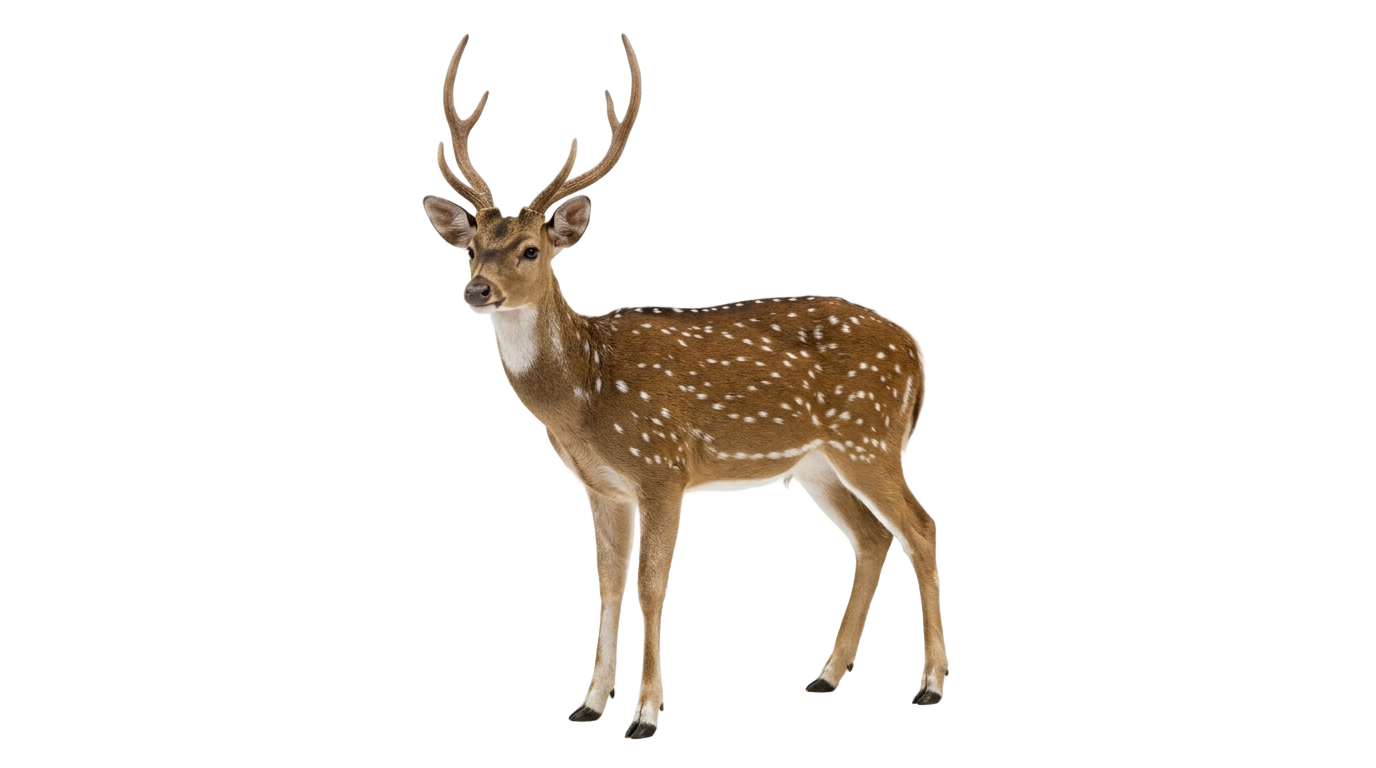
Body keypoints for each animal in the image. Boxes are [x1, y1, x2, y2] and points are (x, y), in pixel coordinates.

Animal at [421, 34, 947, 744]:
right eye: (473, 245)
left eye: (531, 248)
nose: (478, 290)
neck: (586, 394)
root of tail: (916, 351)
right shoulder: (602, 485)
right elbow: (607, 584)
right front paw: (590, 702)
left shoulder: (662, 468)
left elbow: (651, 584)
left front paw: (646, 713)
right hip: (819, 461)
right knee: (872, 537)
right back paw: (827, 674)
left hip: (870, 437)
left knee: (921, 527)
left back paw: (931, 684)